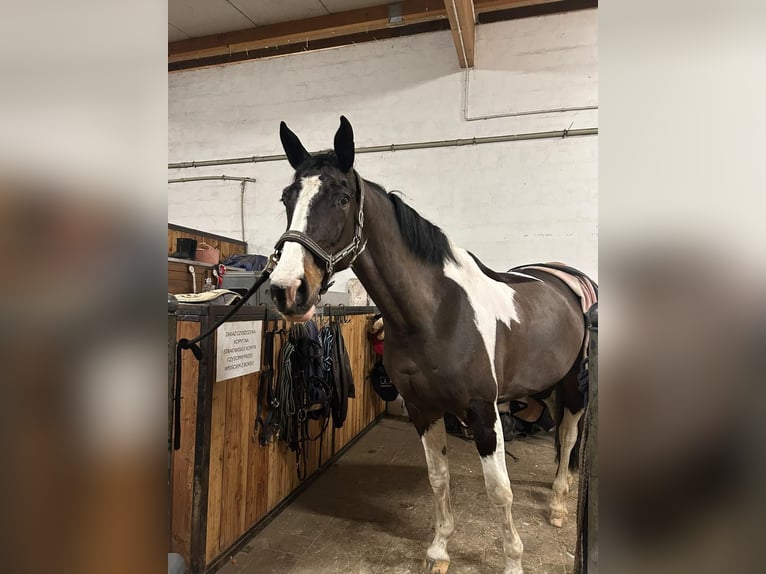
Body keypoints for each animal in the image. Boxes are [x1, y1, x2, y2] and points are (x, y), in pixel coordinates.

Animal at [267, 116, 592, 574]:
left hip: (574, 386)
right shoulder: (423, 409)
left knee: (567, 436)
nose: (287, 290)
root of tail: (564, 278)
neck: (435, 313)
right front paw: (439, 551)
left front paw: (512, 560)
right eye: (287, 197)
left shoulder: (483, 412)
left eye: (343, 198)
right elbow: (439, 480)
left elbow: (500, 490)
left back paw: (560, 505)